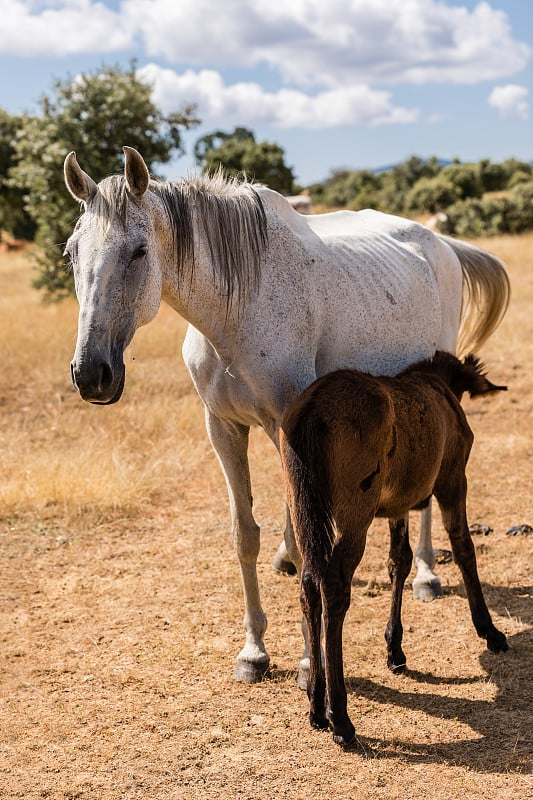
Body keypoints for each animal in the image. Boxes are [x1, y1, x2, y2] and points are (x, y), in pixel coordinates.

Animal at [62, 150, 508, 688]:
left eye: (138, 252)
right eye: (71, 253)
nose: (91, 374)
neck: (235, 312)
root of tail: (439, 242)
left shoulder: (285, 431)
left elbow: (302, 542)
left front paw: (308, 663)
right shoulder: (223, 429)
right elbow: (245, 535)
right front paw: (254, 651)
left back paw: (426, 574)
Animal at [278, 354, 508, 748]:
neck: (439, 386)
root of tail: (313, 408)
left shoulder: (399, 504)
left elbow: (398, 561)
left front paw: (394, 648)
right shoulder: (452, 479)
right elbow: (463, 545)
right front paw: (489, 629)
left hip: (302, 505)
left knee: (309, 583)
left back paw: (316, 705)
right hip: (357, 510)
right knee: (334, 587)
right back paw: (340, 718)